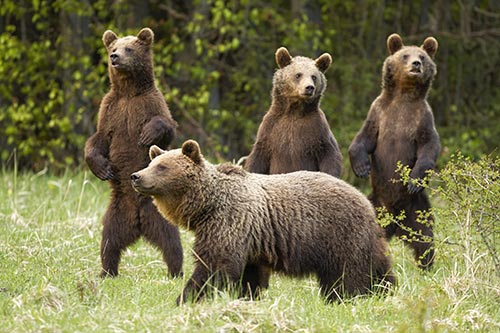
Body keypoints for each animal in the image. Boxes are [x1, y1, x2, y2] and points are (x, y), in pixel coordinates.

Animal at [244, 47, 342, 176]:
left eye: (314, 76)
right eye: (298, 75)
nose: (309, 87)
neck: (294, 110)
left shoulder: (318, 129)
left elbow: (329, 153)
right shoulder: (270, 130)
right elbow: (258, 158)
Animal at [348, 33, 442, 268]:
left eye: (423, 56)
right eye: (405, 55)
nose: (416, 64)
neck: (404, 96)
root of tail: (395, 224)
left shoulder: (423, 119)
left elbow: (429, 147)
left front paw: (413, 180)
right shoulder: (378, 113)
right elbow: (363, 139)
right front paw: (362, 167)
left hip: (417, 208)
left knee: (424, 237)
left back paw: (427, 265)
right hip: (375, 203)